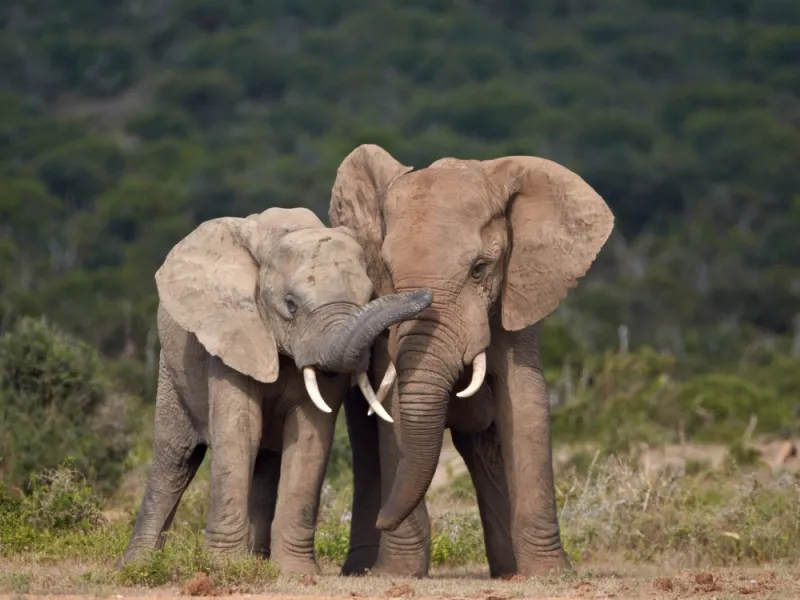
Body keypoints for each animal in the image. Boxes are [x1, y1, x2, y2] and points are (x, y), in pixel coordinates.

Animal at [120, 206, 433, 576]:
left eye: (369, 297)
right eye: (291, 304)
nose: (426, 295)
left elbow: (310, 437)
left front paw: (296, 573)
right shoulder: (233, 334)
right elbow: (240, 433)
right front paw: (223, 568)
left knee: (265, 463)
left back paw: (257, 561)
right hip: (171, 368)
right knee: (175, 459)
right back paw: (136, 567)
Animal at [328, 145, 614, 578]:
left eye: (479, 269)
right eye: (388, 273)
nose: (383, 520)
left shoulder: (519, 294)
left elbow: (526, 403)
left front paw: (548, 574)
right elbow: (393, 412)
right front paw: (398, 574)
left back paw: (508, 572)